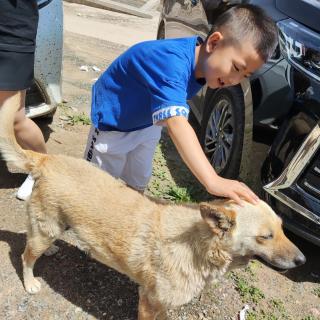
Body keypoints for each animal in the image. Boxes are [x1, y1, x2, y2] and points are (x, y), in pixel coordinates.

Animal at [0, 99, 304, 318]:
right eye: (265, 236)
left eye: (282, 229)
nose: (302, 261)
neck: (199, 245)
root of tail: (47, 159)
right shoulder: (149, 302)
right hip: (45, 230)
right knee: (26, 257)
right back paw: (30, 281)